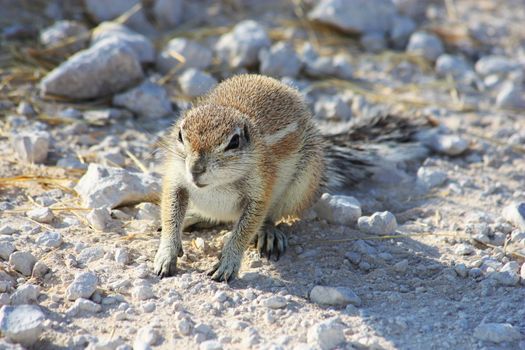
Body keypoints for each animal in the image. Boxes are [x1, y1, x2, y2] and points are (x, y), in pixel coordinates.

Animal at [152, 74, 426, 282]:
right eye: (180, 136)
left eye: (234, 142)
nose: (195, 169)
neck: (215, 186)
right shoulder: (176, 179)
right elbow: (171, 213)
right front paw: (166, 253)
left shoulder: (260, 189)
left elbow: (245, 229)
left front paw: (227, 263)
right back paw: (192, 218)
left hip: (301, 185)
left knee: (270, 218)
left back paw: (269, 234)